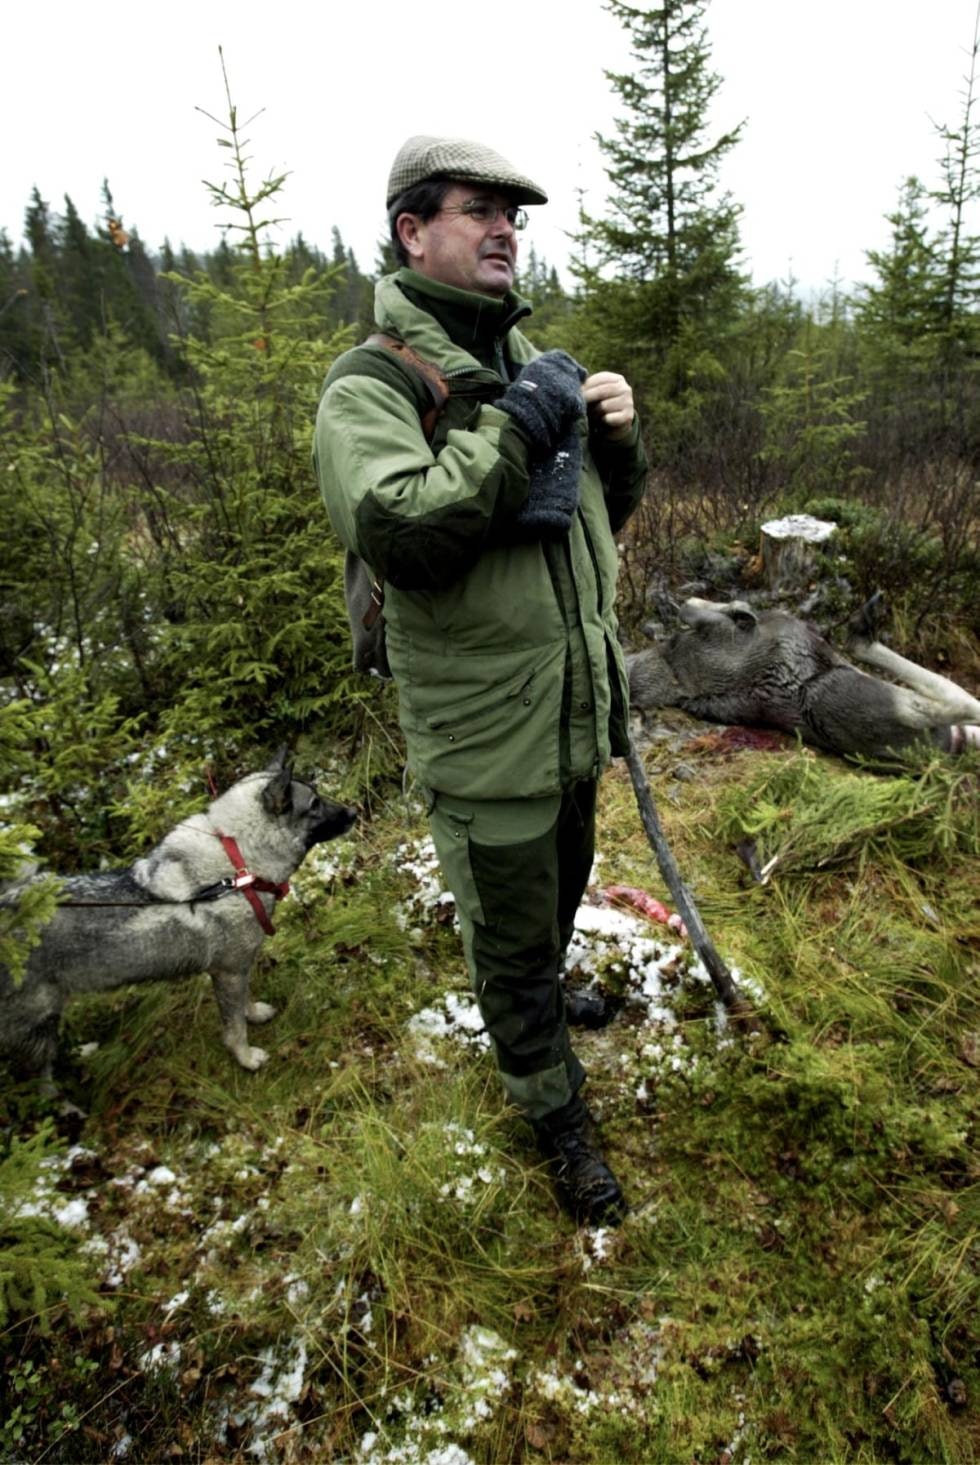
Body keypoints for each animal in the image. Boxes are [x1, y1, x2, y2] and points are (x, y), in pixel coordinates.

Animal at [0, 755, 357, 1078]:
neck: (238, 864)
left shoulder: (235, 971)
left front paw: (254, 1013)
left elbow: (243, 1004)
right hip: (37, 1024)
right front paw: (245, 1058)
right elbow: (234, 1026)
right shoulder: (229, 971)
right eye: (314, 804)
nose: (355, 812)